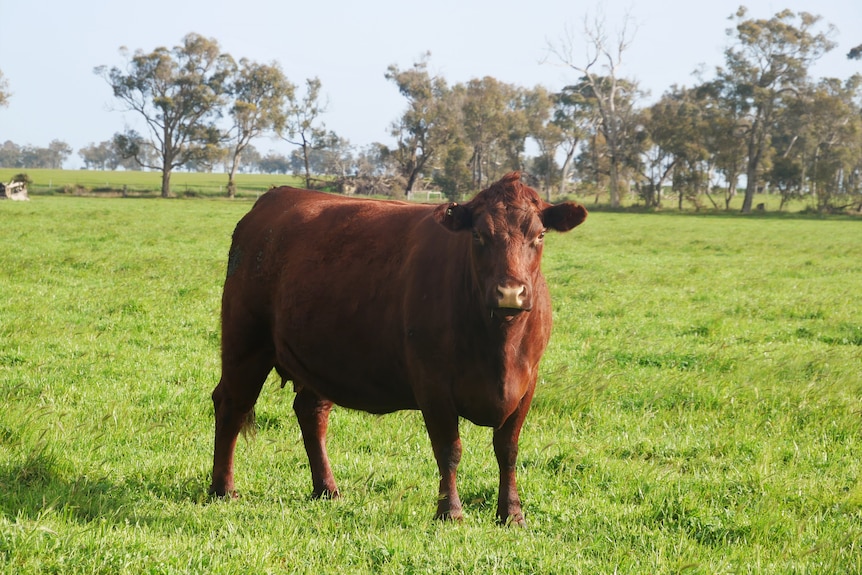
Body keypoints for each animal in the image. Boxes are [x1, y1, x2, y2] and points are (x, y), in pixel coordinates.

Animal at [209, 172, 588, 528]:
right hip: (245, 342)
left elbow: (507, 450)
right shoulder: (432, 383)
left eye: (539, 236)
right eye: (479, 236)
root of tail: (278, 195)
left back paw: (326, 489)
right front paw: (450, 512)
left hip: (318, 357)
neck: (499, 347)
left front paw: (511, 514)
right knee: (231, 404)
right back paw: (223, 489)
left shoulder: (527, 384)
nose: (510, 292)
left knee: (311, 412)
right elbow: (449, 450)